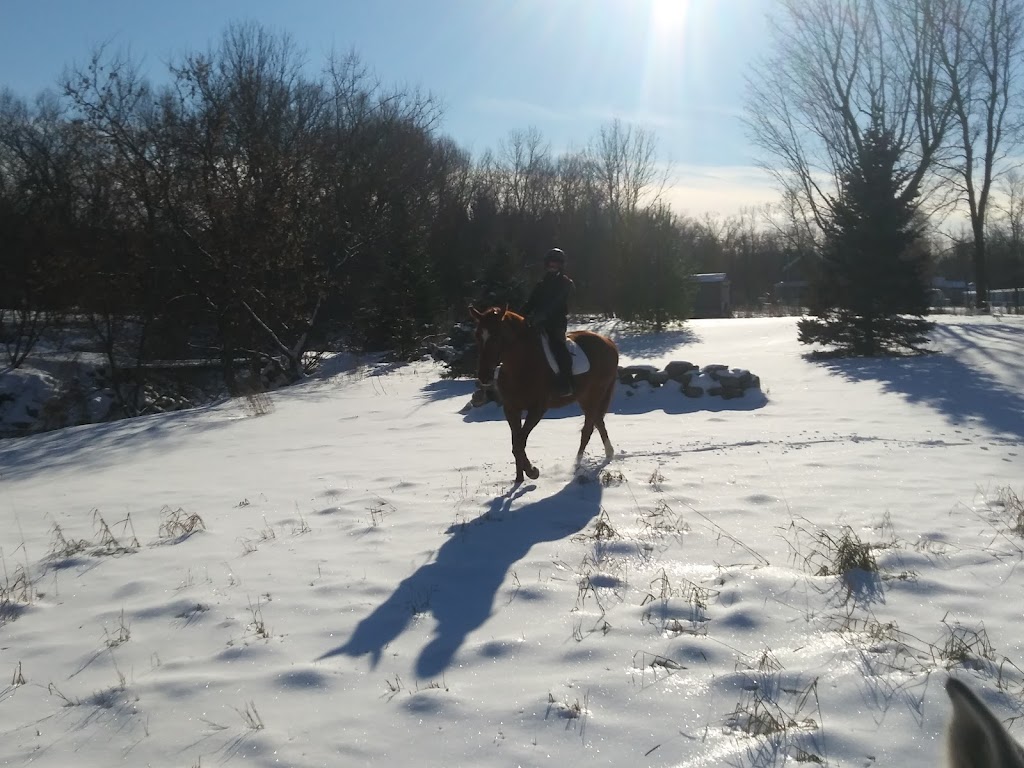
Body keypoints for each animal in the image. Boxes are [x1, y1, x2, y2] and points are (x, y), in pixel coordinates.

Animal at [468, 305, 618, 481]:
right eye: (477, 336)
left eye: (497, 336)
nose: (484, 376)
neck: (521, 364)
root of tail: (608, 342)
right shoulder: (511, 409)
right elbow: (516, 441)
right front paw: (519, 479)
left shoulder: (537, 410)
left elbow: (519, 443)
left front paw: (532, 472)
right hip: (584, 397)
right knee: (598, 422)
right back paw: (607, 453)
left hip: (595, 394)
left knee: (588, 429)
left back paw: (577, 465)